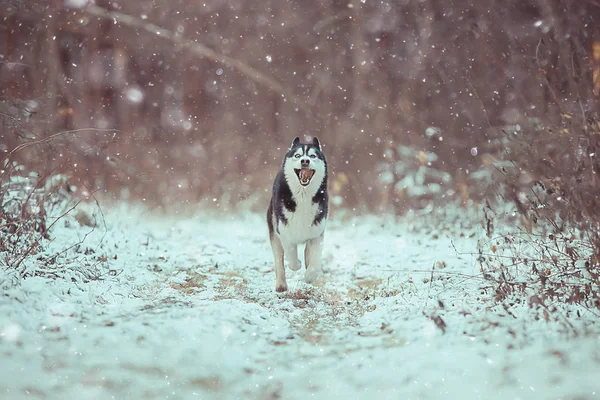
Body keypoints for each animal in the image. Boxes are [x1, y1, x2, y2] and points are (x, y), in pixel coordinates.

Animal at [268, 137, 328, 290]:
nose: (305, 161)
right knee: (279, 259)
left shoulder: (317, 234)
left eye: (313, 156)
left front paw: (309, 277)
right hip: (274, 231)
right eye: (297, 155)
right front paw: (297, 264)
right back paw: (281, 285)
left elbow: (315, 264)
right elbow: (291, 257)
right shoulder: (284, 232)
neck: (303, 197)